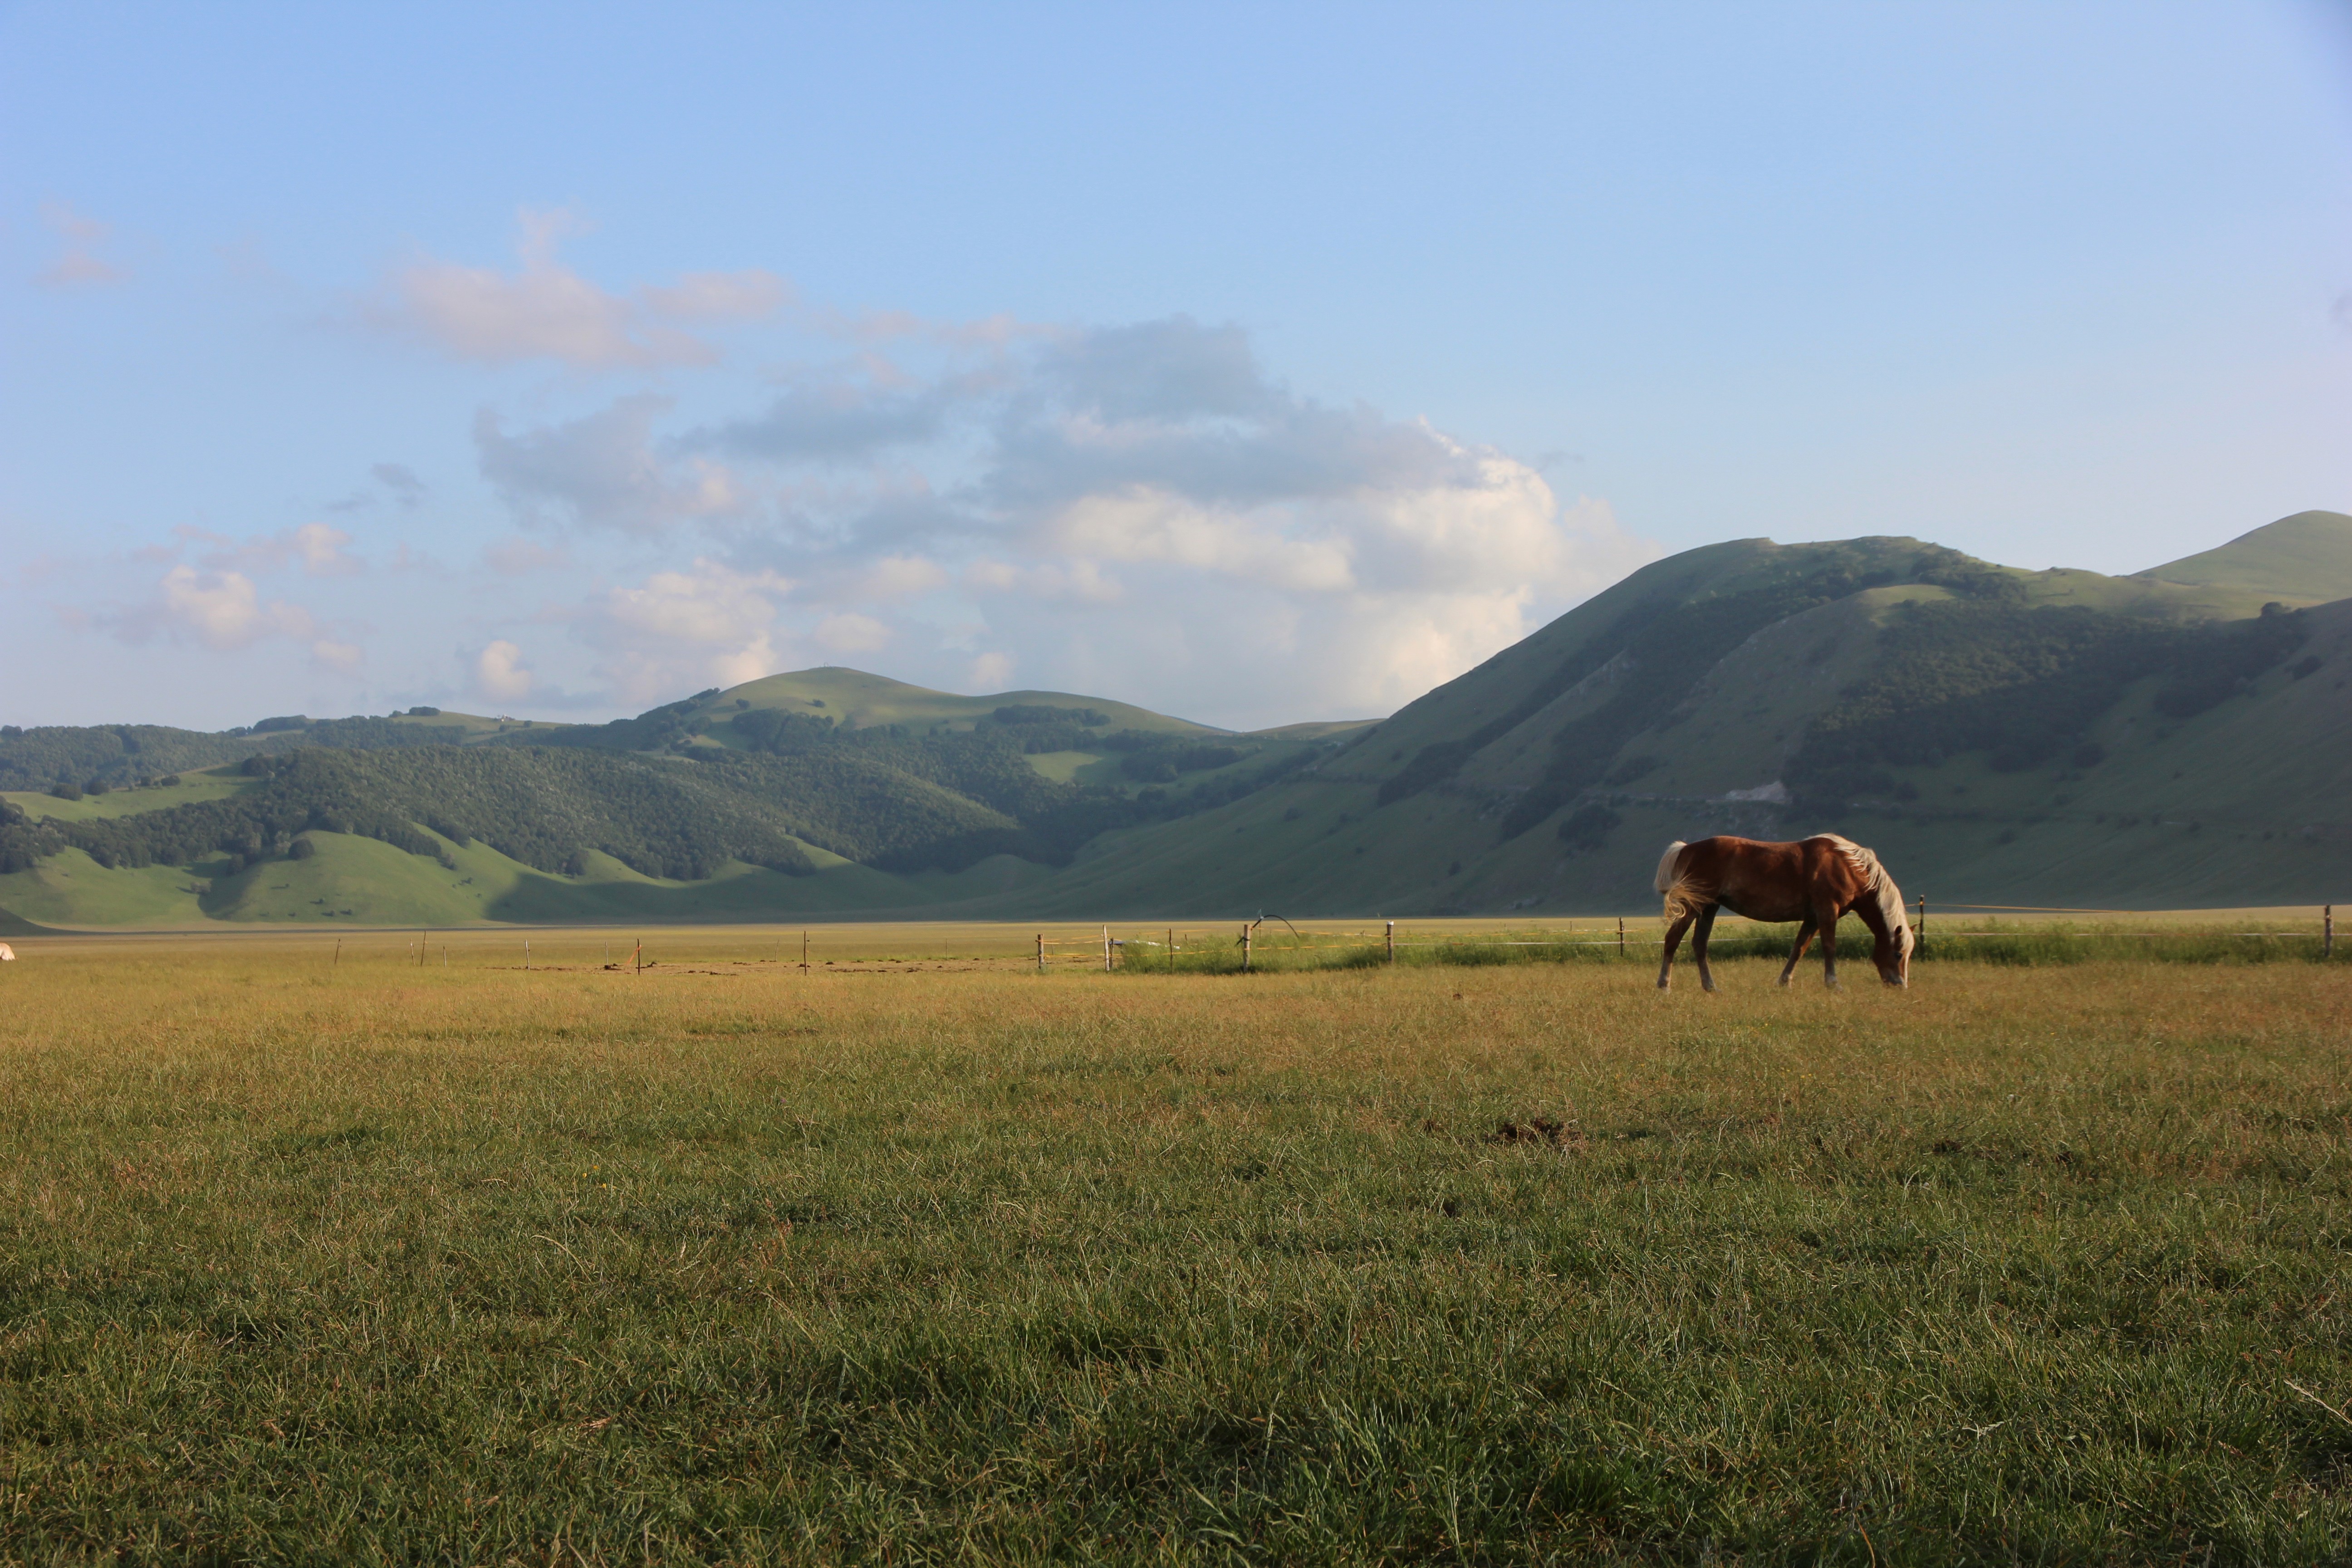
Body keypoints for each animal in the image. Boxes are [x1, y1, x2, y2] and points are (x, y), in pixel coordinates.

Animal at [1652, 834, 1912, 990]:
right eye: (1898, 954)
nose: (1901, 984)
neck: (1848, 865)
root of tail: (1686, 849)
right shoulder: (1827, 911)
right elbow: (1829, 947)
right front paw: (1833, 983)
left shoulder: (1812, 918)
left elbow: (1799, 949)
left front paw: (1784, 982)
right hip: (1693, 906)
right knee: (1673, 939)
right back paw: (1664, 985)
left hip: (1709, 907)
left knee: (1699, 945)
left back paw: (1710, 987)